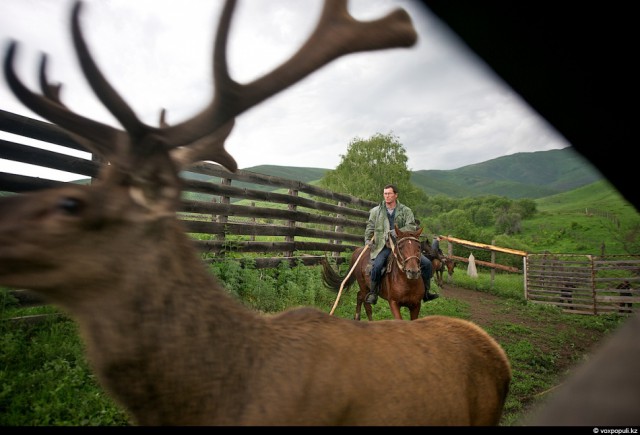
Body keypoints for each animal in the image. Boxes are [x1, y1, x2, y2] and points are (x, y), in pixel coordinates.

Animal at [0, 1, 510, 428]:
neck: (217, 400)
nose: (413, 267)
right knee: (361, 304)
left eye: (70, 204)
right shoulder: (391, 298)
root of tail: (498, 355)